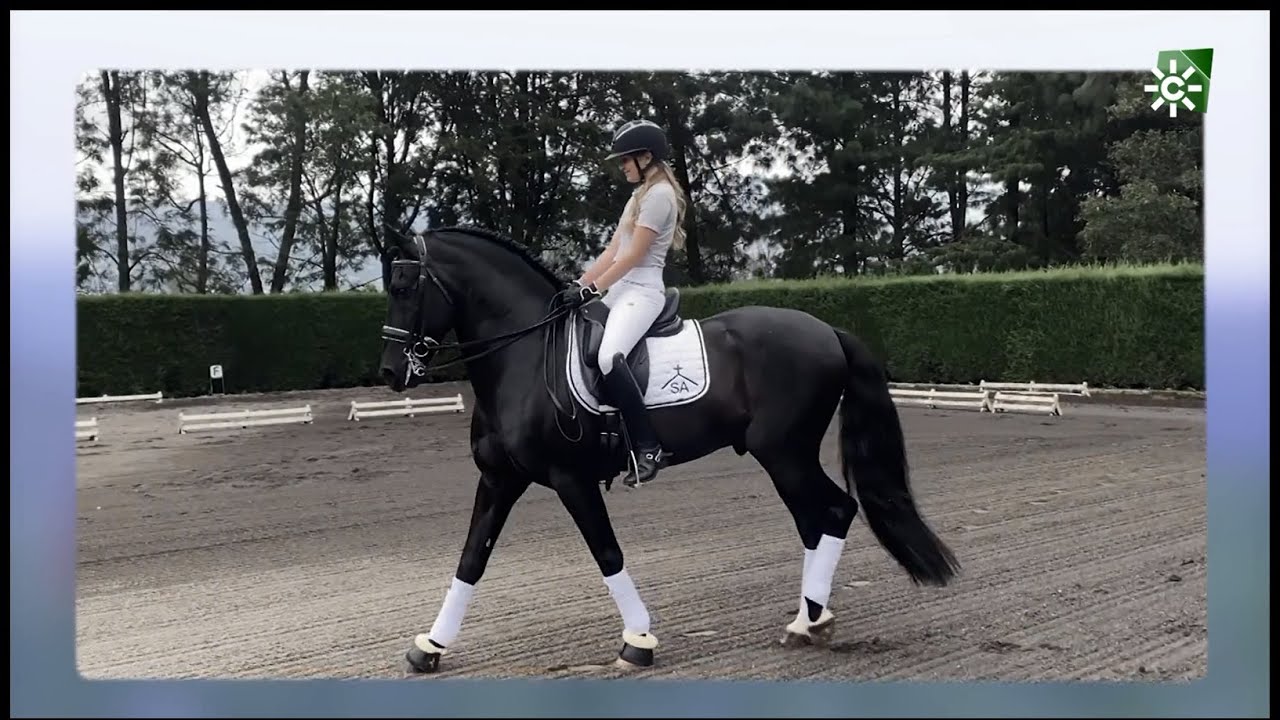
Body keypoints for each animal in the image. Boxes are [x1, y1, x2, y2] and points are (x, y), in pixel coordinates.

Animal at [373, 222, 957, 671]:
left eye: (405, 286)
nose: (390, 374)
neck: (524, 356)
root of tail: (827, 330)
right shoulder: (500, 479)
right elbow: (472, 558)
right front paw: (430, 646)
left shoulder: (571, 478)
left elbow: (607, 553)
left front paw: (638, 642)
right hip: (784, 456)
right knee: (815, 521)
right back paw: (807, 620)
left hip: (784, 454)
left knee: (833, 511)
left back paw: (809, 623)